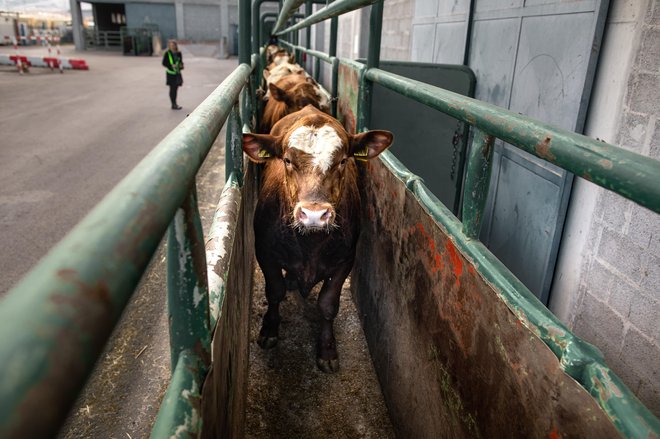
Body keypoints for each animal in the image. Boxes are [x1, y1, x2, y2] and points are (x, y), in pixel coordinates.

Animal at [245, 105, 394, 372]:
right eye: (287, 160)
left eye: (343, 160)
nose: (314, 214)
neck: (309, 244)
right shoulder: (264, 252)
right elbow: (275, 291)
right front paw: (269, 329)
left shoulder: (344, 261)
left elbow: (327, 305)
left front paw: (327, 350)